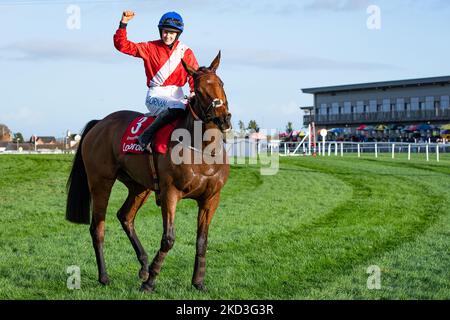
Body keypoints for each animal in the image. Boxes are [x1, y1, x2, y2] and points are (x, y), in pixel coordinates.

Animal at [66, 52, 232, 292]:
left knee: (125, 216)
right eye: (199, 90)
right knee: (98, 227)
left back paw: (143, 265)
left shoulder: (211, 198)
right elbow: (168, 239)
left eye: (221, 83)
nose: (223, 118)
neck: (203, 151)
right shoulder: (170, 193)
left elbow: (202, 240)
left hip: (139, 187)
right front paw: (151, 281)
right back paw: (105, 277)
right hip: (100, 181)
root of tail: (99, 123)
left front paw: (198, 282)